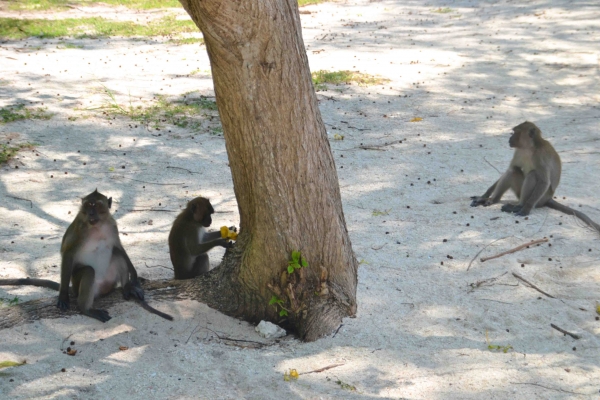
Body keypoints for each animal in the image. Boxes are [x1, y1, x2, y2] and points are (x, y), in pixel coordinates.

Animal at [0, 189, 173, 324]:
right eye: (88, 205)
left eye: (97, 205)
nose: (90, 213)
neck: (97, 226)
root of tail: (102, 289)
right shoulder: (79, 228)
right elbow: (68, 252)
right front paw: (63, 295)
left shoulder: (112, 225)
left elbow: (118, 247)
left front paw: (135, 278)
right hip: (79, 285)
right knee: (89, 271)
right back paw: (86, 309)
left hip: (110, 281)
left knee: (116, 254)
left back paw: (127, 288)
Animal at [472, 120, 600, 230]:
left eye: (516, 132)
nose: (510, 137)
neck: (529, 148)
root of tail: (548, 198)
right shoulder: (519, 151)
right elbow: (510, 168)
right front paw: (484, 195)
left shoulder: (540, 156)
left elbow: (544, 181)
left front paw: (526, 208)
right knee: (514, 170)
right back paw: (493, 200)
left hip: (540, 199)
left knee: (532, 175)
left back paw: (519, 206)